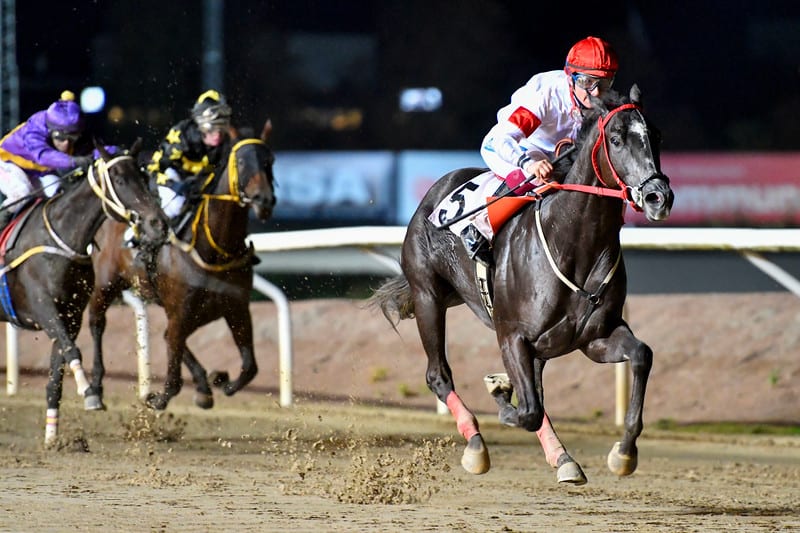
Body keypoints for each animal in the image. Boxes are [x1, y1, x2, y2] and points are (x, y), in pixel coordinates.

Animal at [0, 142, 167, 444]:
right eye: (120, 180)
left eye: (143, 176)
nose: (158, 223)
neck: (63, 240)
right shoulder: (43, 308)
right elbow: (71, 349)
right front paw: (90, 393)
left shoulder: (71, 315)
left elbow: (57, 373)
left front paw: (52, 438)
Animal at [88, 120, 276, 410]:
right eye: (242, 162)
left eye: (270, 160)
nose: (263, 200)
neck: (214, 251)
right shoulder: (181, 310)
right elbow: (173, 380)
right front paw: (157, 397)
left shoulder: (236, 309)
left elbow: (249, 368)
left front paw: (220, 379)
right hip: (106, 284)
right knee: (97, 322)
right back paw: (95, 388)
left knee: (170, 337)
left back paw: (203, 386)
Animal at [372, 86, 672, 482]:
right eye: (617, 139)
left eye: (656, 135)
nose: (658, 197)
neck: (574, 243)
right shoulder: (512, 335)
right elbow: (528, 411)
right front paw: (500, 395)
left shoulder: (595, 337)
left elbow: (641, 355)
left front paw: (624, 452)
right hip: (427, 297)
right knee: (439, 375)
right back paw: (476, 443)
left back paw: (561, 457)